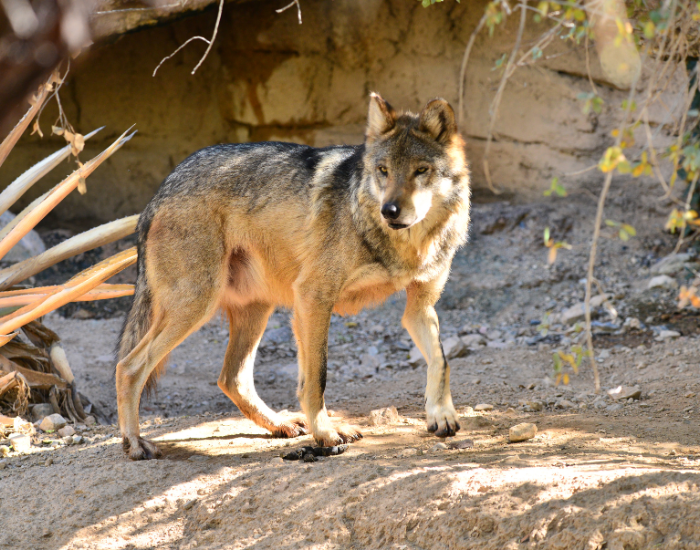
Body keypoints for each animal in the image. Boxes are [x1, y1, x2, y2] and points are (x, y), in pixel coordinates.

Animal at [116, 93, 471, 460]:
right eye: (383, 170)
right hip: (196, 306)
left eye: (421, 170)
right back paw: (135, 443)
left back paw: (280, 424)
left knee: (232, 378)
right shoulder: (313, 297)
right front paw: (325, 433)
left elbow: (441, 361)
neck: (406, 247)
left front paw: (441, 415)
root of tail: (158, 194)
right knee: (128, 367)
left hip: (255, 310)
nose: (390, 211)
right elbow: (317, 377)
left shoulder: (418, 308)